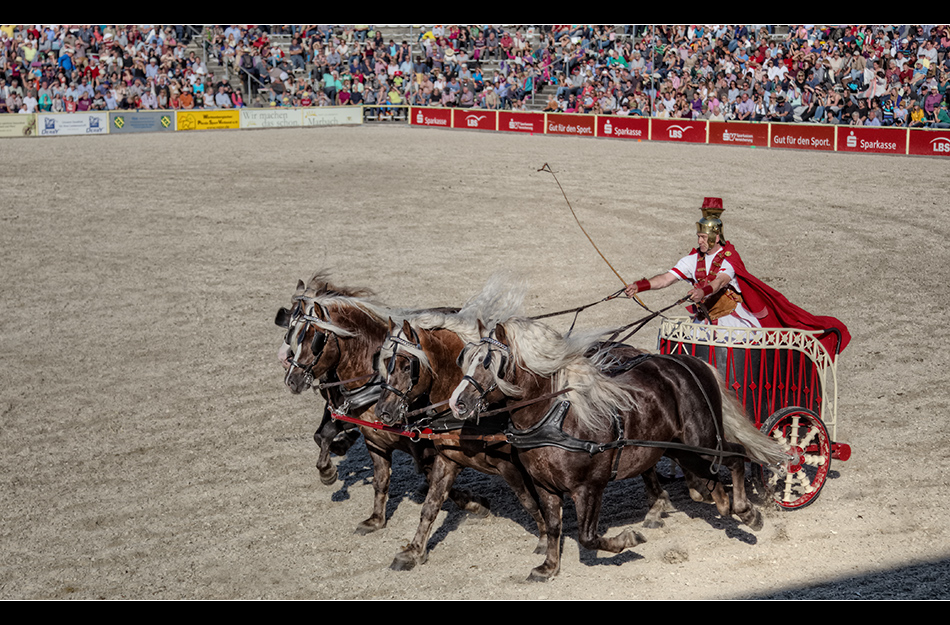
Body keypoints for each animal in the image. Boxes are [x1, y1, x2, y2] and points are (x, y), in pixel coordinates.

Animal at [276, 276, 488, 532]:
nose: (291, 378)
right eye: (291, 332)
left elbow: (433, 477)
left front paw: (474, 503)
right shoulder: (371, 436)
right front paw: (375, 517)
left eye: (315, 338)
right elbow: (378, 476)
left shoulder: (423, 444)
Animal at [450, 314, 792, 584]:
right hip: (678, 448)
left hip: (703, 440)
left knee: (735, 456)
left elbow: (588, 537)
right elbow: (554, 527)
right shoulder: (544, 486)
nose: (457, 403)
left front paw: (630, 538)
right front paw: (548, 567)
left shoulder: (589, 487)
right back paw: (721, 502)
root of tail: (692, 362)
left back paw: (747, 512)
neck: (555, 417)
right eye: (465, 358)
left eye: (487, 363)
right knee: (704, 480)